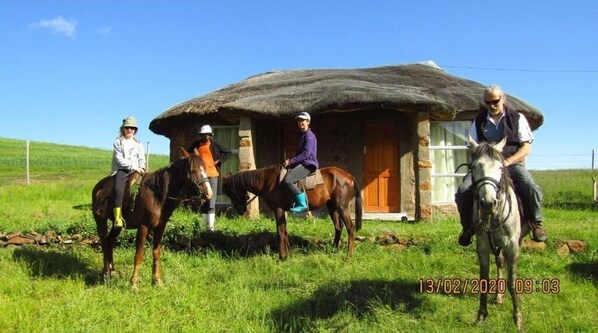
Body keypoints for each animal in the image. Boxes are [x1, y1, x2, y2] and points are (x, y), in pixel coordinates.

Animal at [92, 148, 214, 288]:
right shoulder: (143, 226)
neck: (157, 195)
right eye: (193, 170)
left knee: (110, 241)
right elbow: (139, 254)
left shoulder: (160, 227)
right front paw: (134, 283)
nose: (209, 193)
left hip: (118, 225)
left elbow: (156, 252)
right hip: (100, 221)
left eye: (204, 168)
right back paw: (106, 272)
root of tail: (98, 187)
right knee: (104, 241)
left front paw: (156, 280)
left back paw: (112, 271)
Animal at [223, 164, 364, 260]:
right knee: (338, 227)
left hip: (342, 207)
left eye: (230, 192)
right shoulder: (282, 211)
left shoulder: (278, 209)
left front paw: (282, 257)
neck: (269, 181)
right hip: (331, 206)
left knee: (350, 228)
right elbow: (284, 232)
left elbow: (280, 233)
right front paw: (288, 254)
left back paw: (349, 255)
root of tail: (348, 176)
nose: (241, 210)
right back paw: (334, 249)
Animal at [472, 137, 528, 330]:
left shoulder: (512, 246)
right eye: (475, 167)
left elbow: (512, 280)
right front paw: (481, 315)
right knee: (500, 262)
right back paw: (498, 296)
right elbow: (484, 278)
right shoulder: (482, 245)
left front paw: (518, 319)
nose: (488, 203)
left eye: (500, 168)